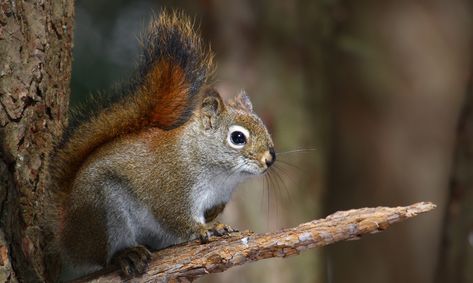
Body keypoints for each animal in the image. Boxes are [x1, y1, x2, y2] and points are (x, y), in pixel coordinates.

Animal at [46, 10, 274, 282]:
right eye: (238, 138)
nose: (270, 158)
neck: (220, 175)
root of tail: (67, 235)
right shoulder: (171, 188)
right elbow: (175, 216)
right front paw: (207, 227)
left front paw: (214, 216)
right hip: (104, 212)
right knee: (104, 256)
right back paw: (126, 255)